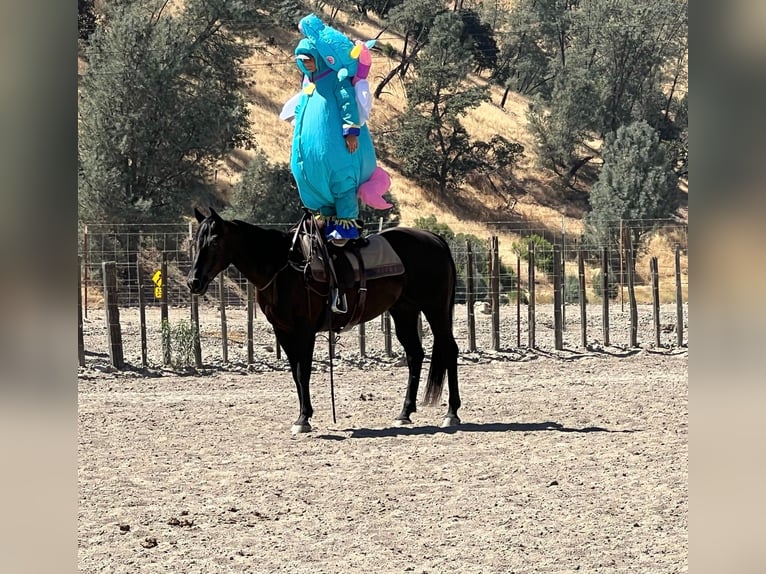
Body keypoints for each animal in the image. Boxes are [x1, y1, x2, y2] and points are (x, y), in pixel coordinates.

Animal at [188, 209, 462, 434]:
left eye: (214, 241)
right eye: (196, 241)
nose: (194, 282)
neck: (283, 268)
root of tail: (435, 239)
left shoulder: (304, 330)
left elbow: (303, 371)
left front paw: (303, 419)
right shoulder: (283, 331)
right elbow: (295, 374)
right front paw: (303, 416)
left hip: (435, 309)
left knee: (449, 350)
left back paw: (451, 413)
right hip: (404, 311)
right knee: (415, 354)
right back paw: (404, 413)